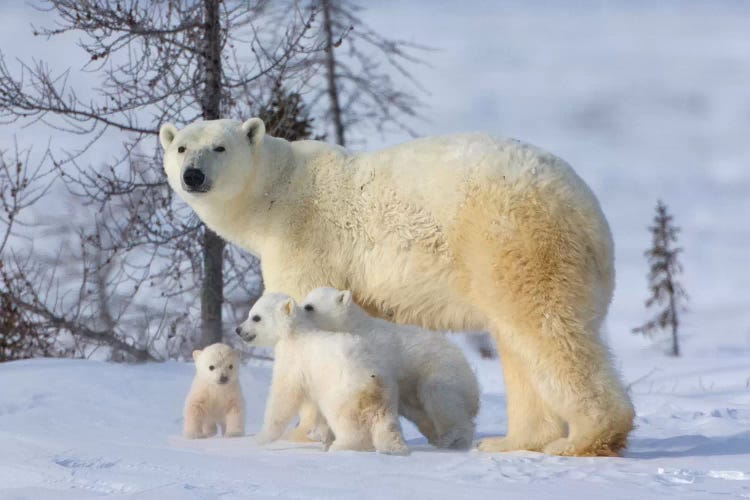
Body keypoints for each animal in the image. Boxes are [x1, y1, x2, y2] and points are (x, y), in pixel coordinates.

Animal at [236, 292, 408, 456]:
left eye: (256, 317)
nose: (238, 329)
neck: (296, 333)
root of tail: (373, 379)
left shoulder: (294, 362)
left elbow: (283, 397)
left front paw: (260, 438)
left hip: (344, 392)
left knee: (344, 419)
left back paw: (341, 445)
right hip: (388, 393)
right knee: (387, 423)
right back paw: (395, 448)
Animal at [302, 286, 478, 450]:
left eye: (309, 306)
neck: (353, 327)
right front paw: (321, 435)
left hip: (441, 369)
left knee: (442, 397)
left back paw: (452, 439)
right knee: (421, 413)